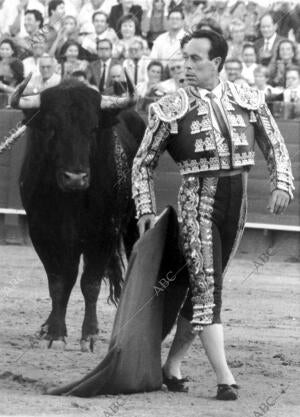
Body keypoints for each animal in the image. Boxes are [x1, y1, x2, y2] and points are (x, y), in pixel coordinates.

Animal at [9, 72, 145, 352]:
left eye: (92, 129)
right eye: (52, 128)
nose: (75, 178)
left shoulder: (104, 232)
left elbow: (90, 283)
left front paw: (89, 335)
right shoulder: (42, 232)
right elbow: (59, 282)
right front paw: (55, 333)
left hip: (132, 222)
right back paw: (48, 325)